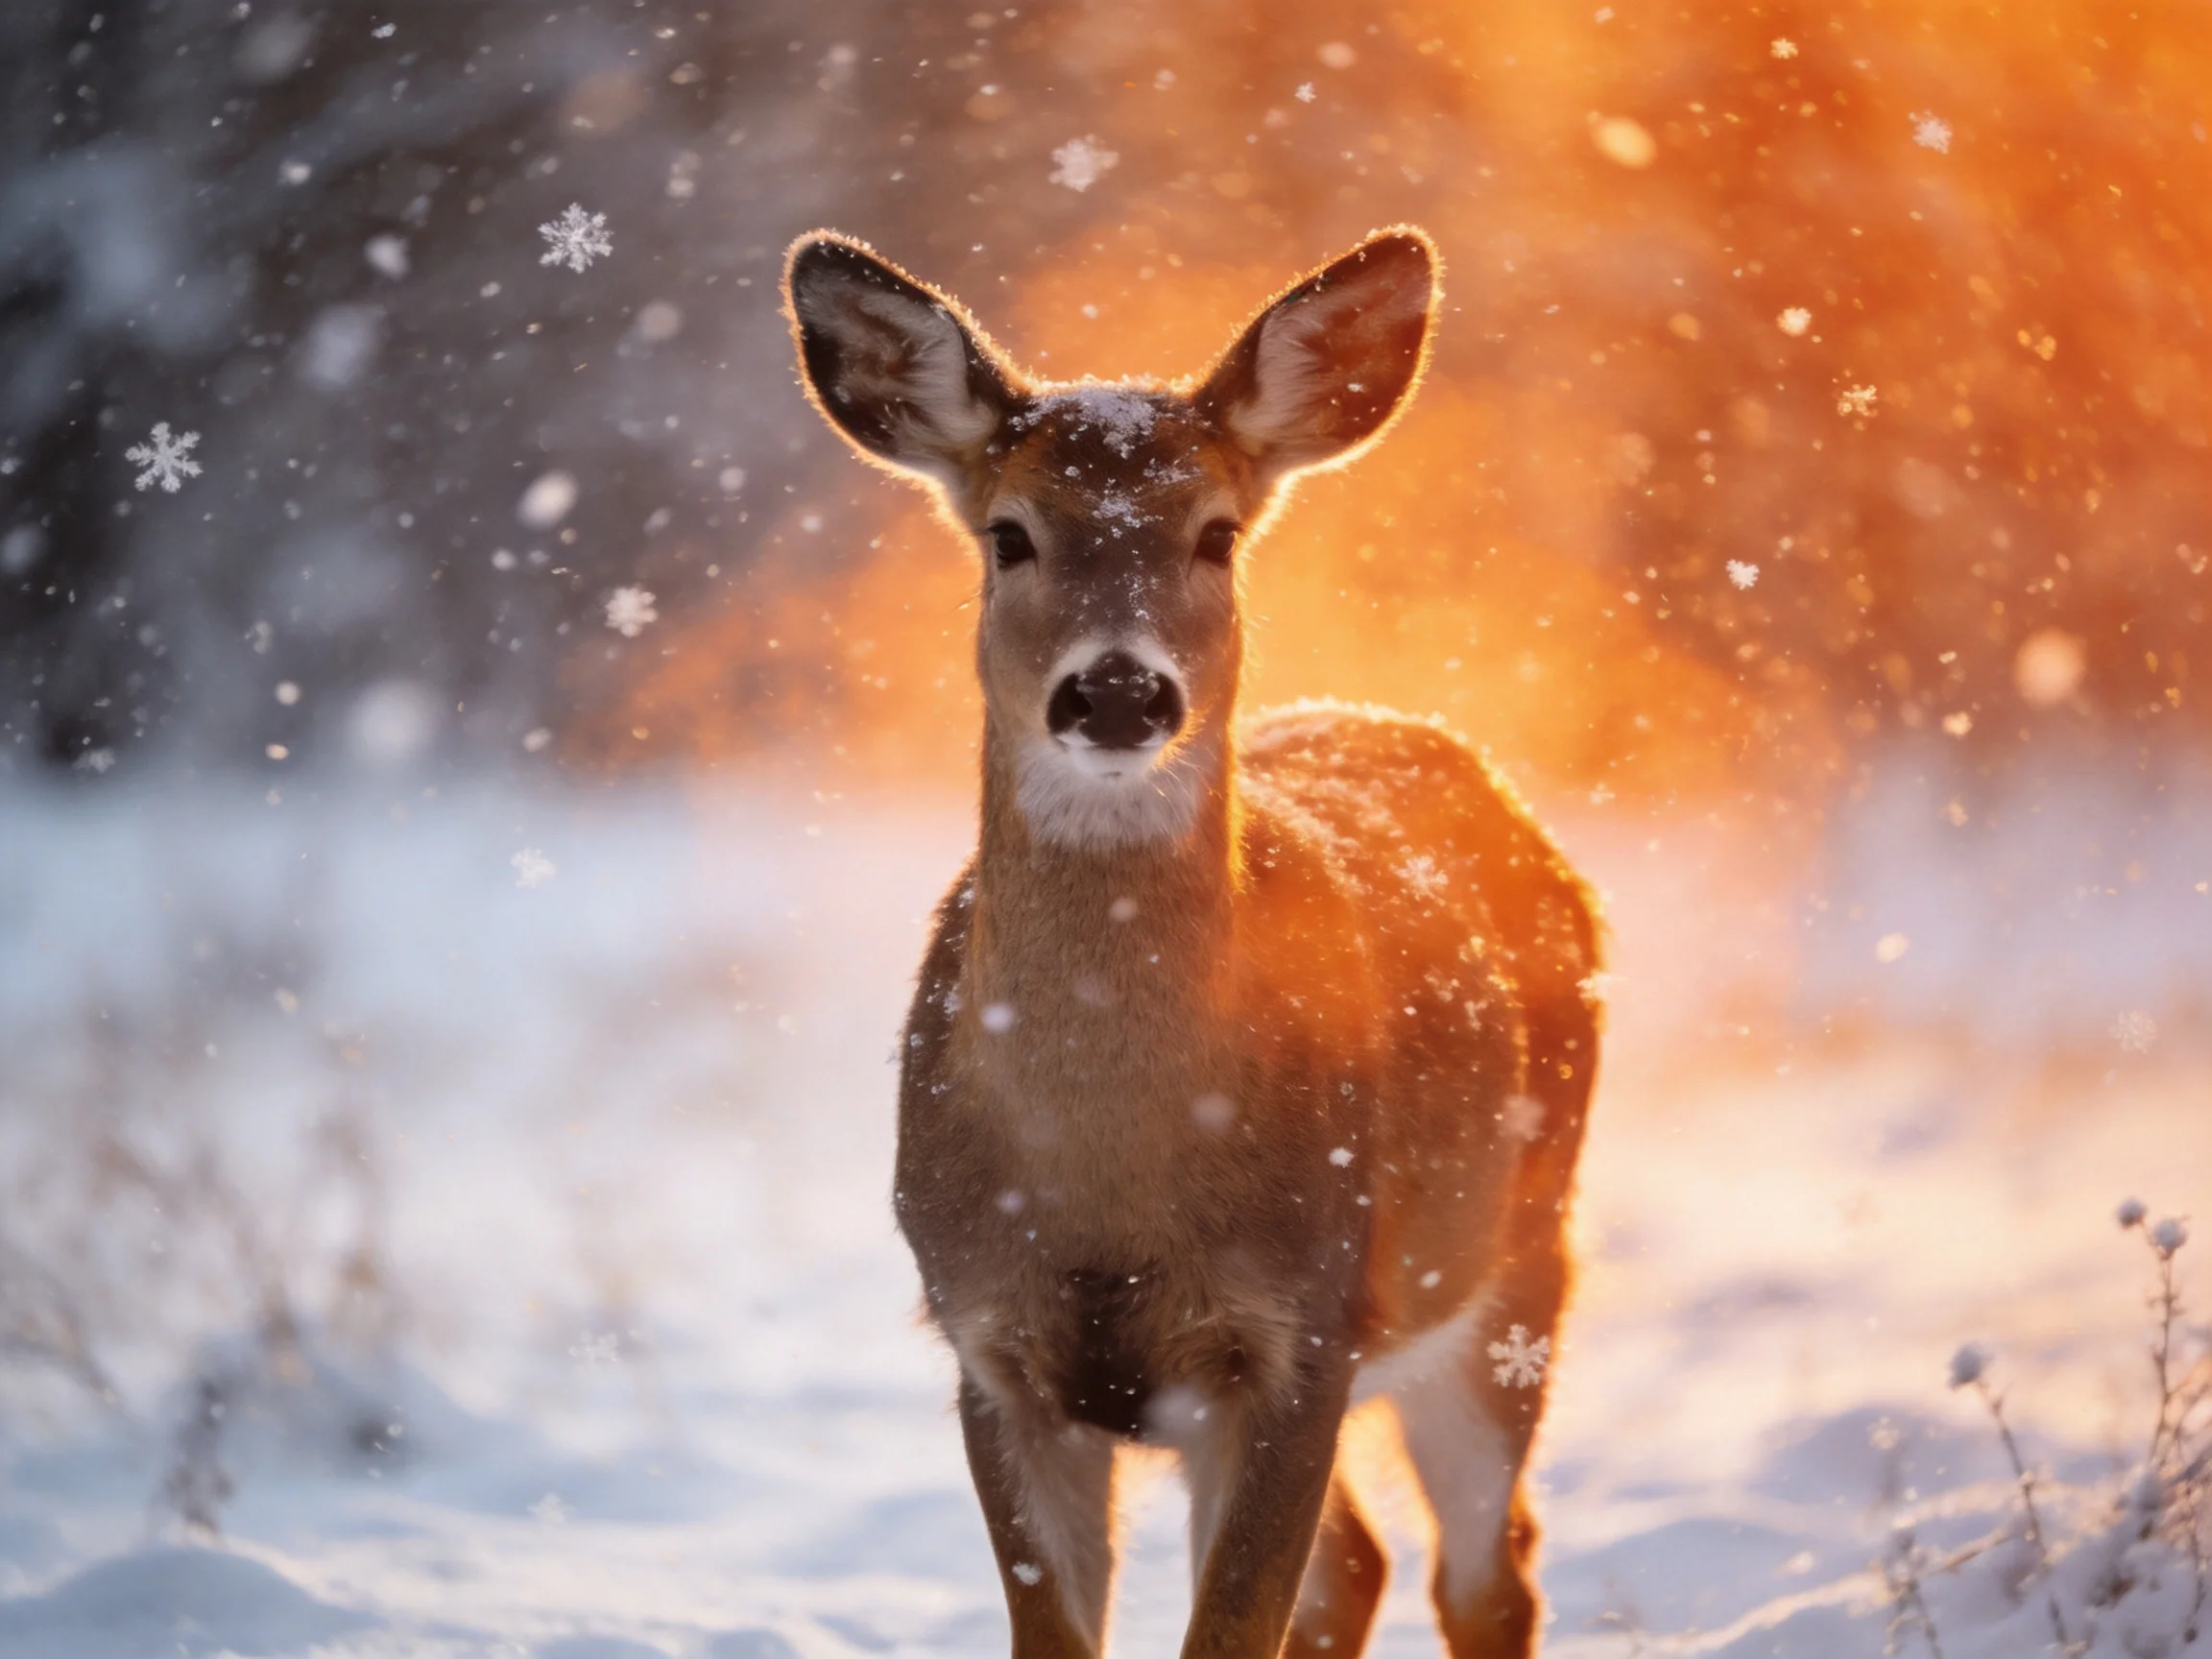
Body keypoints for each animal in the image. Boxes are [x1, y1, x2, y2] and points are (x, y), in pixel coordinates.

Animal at [784, 225, 1602, 1659]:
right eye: (1009, 534)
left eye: (1216, 533)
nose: (1116, 689)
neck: (1108, 1190)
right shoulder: (988, 1343)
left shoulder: (1301, 1329)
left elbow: (1232, 1629)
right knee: (1363, 1564)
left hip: (1509, 1268)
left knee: (1487, 1570)